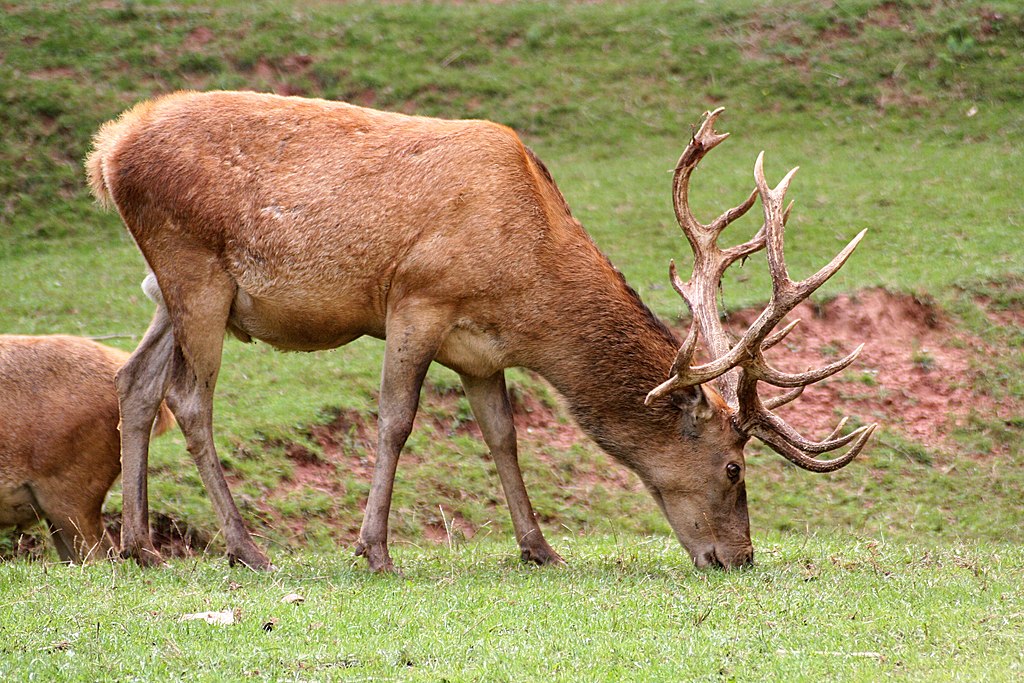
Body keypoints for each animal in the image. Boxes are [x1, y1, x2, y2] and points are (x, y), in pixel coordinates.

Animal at [83, 92, 876, 573]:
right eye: (735, 467)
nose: (739, 557)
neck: (527, 288)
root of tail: (107, 152)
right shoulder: (416, 298)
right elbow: (396, 420)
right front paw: (374, 550)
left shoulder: (479, 349)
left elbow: (502, 434)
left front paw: (540, 547)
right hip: (195, 270)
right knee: (189, 399)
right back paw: (245, 548)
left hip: (170, 289)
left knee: (134, 381)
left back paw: (140, 546)